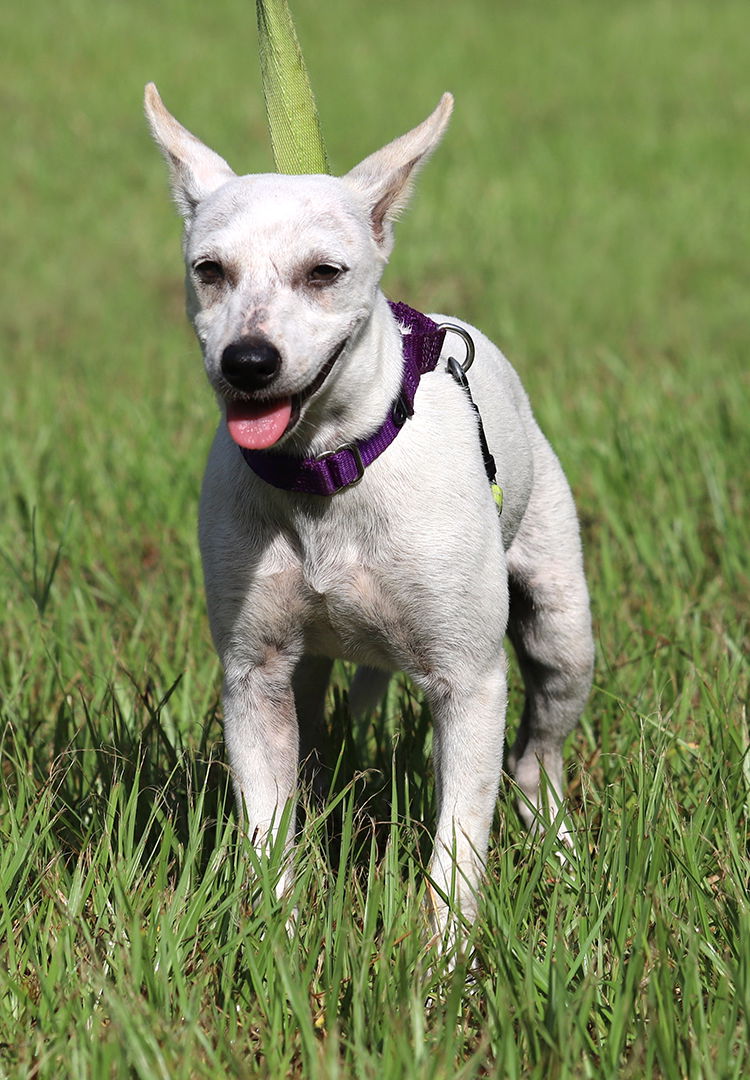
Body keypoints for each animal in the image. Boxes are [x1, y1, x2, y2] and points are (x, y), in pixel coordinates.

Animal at [145, 86, 592, 937]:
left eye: (325, 271)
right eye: (209, 270)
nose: (247, 361)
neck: (326, 472)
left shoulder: (470, 681)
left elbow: (458, 843)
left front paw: (444, 957)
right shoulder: (253, 675)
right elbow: (267, 830)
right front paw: (277, 940)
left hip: (561, 628)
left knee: (535, 756)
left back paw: (558, 847)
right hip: (310, 672)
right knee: (318, 740)